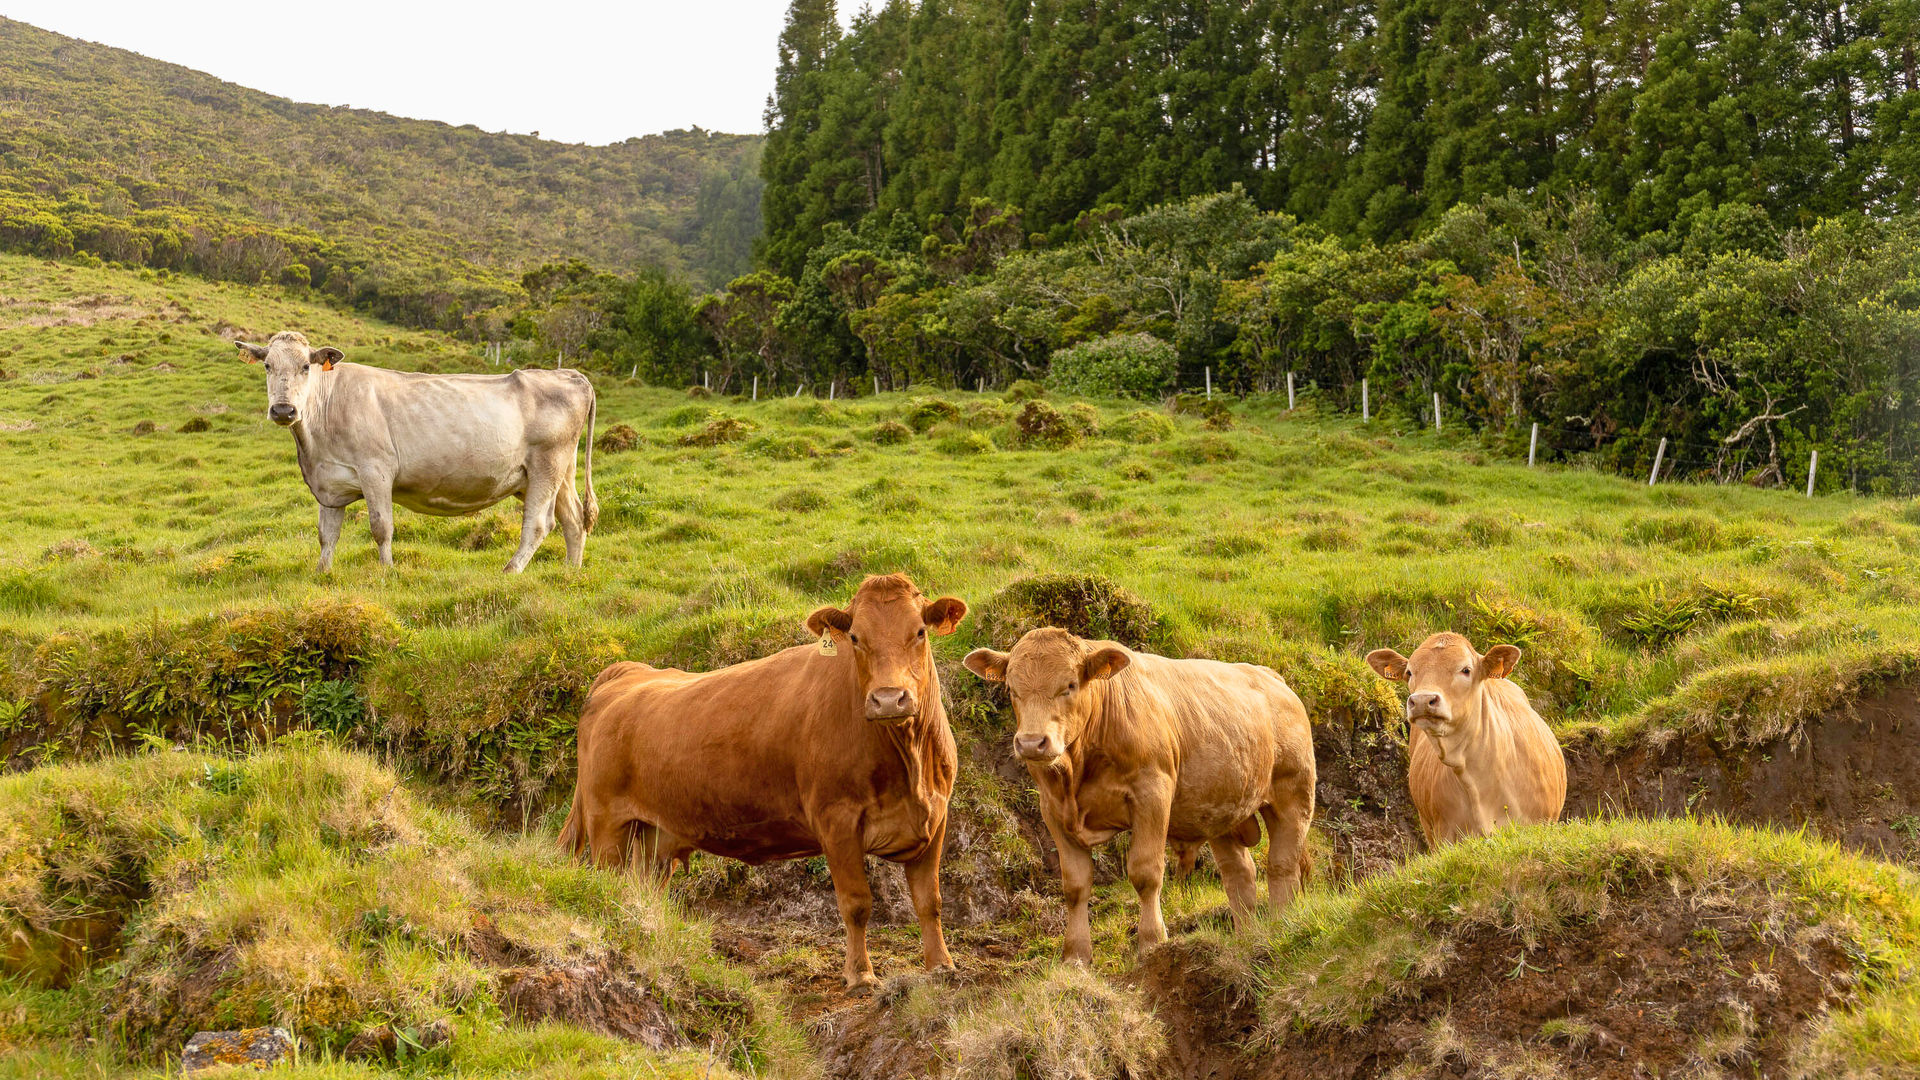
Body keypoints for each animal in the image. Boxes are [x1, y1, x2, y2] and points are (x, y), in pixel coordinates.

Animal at [235, 331, 597, 573]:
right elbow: (327, 535)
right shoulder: (330, 482)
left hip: (546, 464)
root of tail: (569, 373)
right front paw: (322, 573)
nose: (284, 410)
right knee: (574, 519)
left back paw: (511, 570)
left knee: (539, 523)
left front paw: (387, 572)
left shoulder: (376, 470)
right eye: (267, 365)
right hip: (558, 471)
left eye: (305, 367)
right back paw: (571, 571)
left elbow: (381, 527)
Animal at [559, 574, 968, 990]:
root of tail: (628, 672)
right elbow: (856, 903)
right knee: (608, 886)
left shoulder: (935, 816)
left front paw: (942, 965)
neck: (909, 765)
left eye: (920, 632)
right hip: (607, 826)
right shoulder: (836, 820)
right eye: (855, 637)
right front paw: (860, 975)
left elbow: (930, 901)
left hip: (653, 837)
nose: (887, 699)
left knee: (641, 895)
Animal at [964, 629, 1315, 965]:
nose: (1032, 742)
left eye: (1070, 685)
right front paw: (1075, 956)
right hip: (1222, 811)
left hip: (1293, 794)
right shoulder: (1053, 810)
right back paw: (1247, 937)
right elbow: (1075, 885)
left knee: (1282, 864)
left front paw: (1151, 941)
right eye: (1012, 689)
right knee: (1239, 873)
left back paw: (1282, 925)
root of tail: (1271, 676)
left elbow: (1145, 872)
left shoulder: (1152, 794)